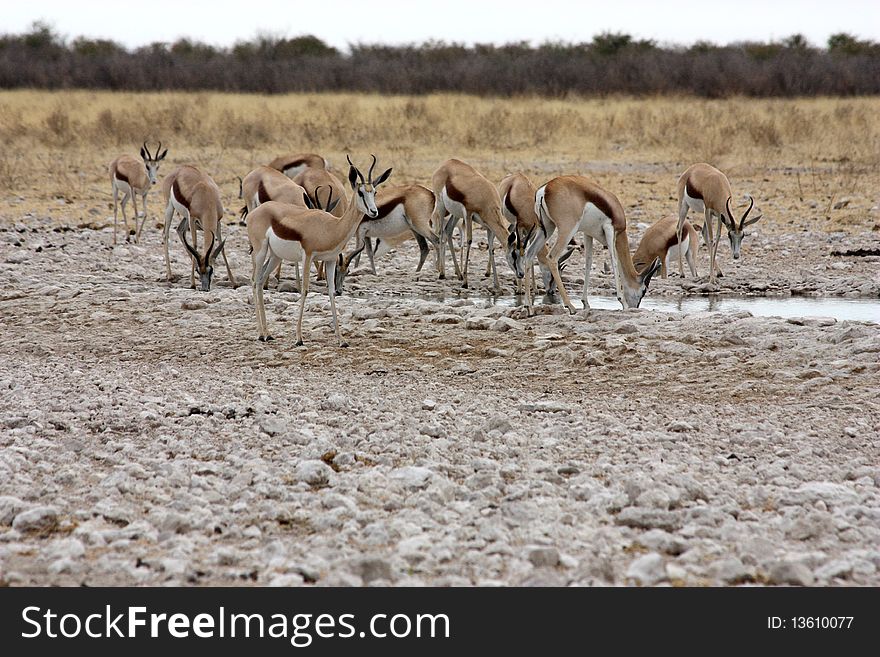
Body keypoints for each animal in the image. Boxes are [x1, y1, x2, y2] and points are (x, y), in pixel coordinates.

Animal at [253, 156, 394, 346]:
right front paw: (299, 338)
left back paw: (267, 334)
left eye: (375, 192)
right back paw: (261, 334)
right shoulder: (308, 256)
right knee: (254, 282)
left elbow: (331, 292)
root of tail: (257, 211)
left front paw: (341, 339)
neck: (331, 227)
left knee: (261, 281)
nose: (374, 211)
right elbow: (305, 290)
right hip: (260, 252)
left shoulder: (330, 259)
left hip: (275, 256)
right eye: (360, 192)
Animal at [528, 176, 660, 312]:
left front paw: (585, 303)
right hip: (568, 229)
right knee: (552, 257)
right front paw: (623, 302)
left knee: (529, 253)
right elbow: (614, 261)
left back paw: (529, 306)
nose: (635, 307)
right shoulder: (610, 230)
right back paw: (570, 306)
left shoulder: (588, 234)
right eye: (644, 291)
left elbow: (588, 262)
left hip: (547, 228)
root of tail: (545, 188)